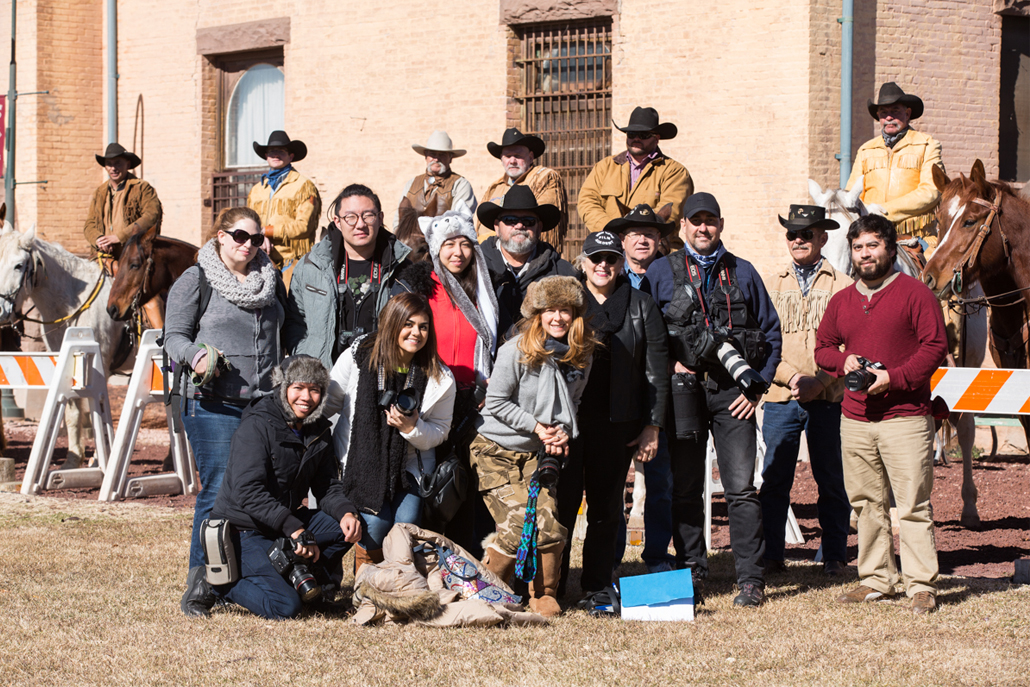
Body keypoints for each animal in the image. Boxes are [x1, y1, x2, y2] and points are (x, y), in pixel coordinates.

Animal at [0, 225, 126, 467]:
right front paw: (73, 458)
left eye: (19, 265)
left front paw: (99, 459)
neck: (73, 304)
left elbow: (99, 410)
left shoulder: (101, 365)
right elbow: (73, 410)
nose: (0, 310)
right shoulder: (66, 362)